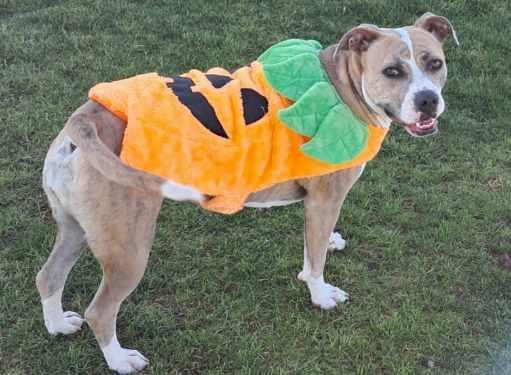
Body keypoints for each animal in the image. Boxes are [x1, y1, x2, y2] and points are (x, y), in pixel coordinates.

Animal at [37, 13, 460, 374]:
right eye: (392, 71)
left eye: (434, 64)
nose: (427, 100)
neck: (344, 84)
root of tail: (86, 116)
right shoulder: (326, 198)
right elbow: (315, 262)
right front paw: (321, 295)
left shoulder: (316, 205)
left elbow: (314, 245)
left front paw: (328, 245)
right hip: (129, 249)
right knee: (100, 311)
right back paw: (120, 360)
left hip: (76, 229)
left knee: (48, 276)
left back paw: (58, 324)